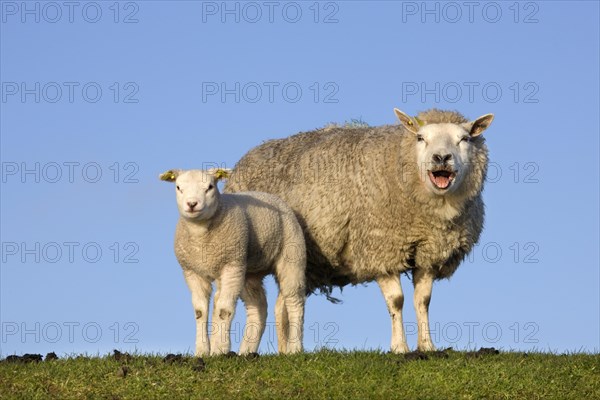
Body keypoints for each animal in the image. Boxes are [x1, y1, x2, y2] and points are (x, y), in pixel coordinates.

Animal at [161, 169, 304, 356]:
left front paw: (220, 349)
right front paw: (202, 351)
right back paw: (246, 351)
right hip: (248, 271)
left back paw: (295, 348)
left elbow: (223, 310)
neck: (201, 235)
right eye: (178, 187)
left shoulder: (231, 266)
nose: (192, 204)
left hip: (291, 255)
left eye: (210, 187)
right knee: (257, 307)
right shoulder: (192, 272)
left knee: (294, 301)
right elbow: (200, 311)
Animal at [227, 108, 494, 352]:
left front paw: (427, 347)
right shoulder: (380, 249)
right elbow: (397, 301)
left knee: (282, 303)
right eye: (420, 137)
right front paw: (400, 348)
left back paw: (286, 352)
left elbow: (423, 301)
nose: (441, 157)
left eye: (464, 139)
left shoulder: (429, 253)